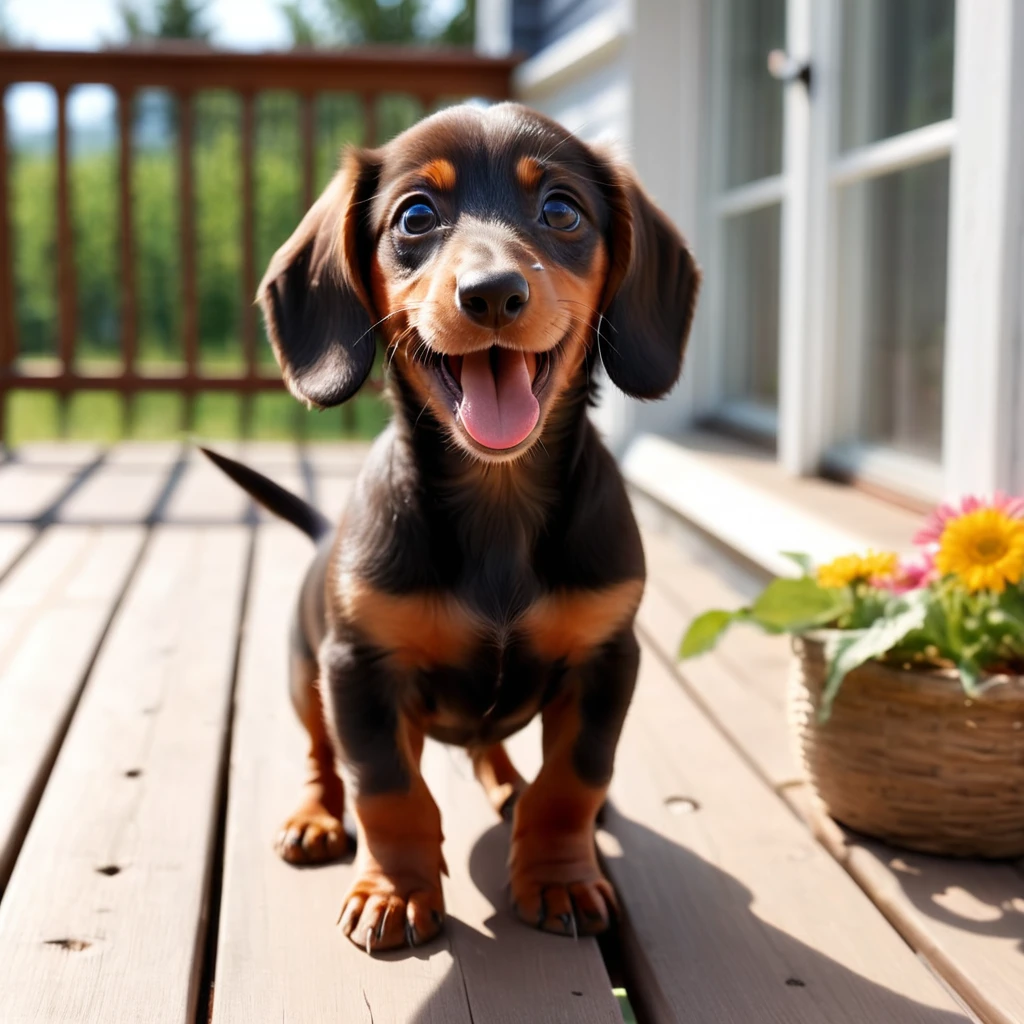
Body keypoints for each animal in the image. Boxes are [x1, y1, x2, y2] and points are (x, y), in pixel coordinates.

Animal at [203, 101, 700, 950]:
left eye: (561, 210)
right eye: (416, 216)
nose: (493, 293)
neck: (496, 504)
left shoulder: (607, 659)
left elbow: (574, 781)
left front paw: (560, 877)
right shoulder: (358, 670)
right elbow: (387, 789)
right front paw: (396, 891)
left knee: (494, 747)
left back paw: (506, 784)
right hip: (307, 674)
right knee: (323, 756)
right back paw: (314, 817)